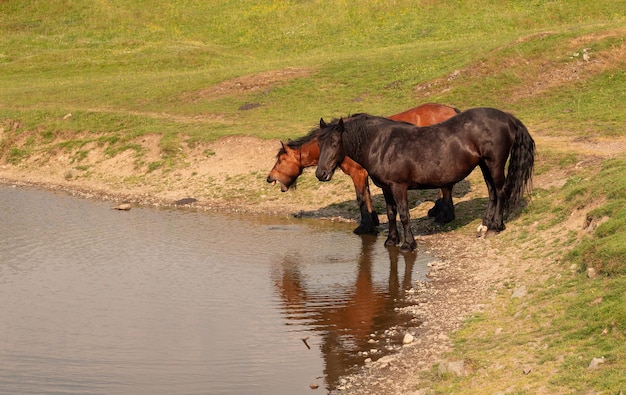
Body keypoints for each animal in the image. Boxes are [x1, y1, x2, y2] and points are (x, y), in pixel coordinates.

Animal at [264, 103, 458, 237]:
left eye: (280, 160)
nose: (269, 178)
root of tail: (452, 110)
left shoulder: (357, 174)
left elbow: (361, 198)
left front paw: (365, 225)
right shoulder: (367, 175)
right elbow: (368, 196)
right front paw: (373, 220)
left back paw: (442, 213)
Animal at [314, 108, 532, 252]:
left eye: (335, 143)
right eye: (319, 144)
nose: (321, 174)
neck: (381, 145)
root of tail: (507, 117)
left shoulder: (398, 187)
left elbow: (404, 215)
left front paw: (408, 244)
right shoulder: (386, 188)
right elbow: (391, 213)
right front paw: (391, 240)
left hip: (494, 164)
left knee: (501, 192)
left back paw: (496, 227)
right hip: (484, 165)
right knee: (492, 192)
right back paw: (485, 225)